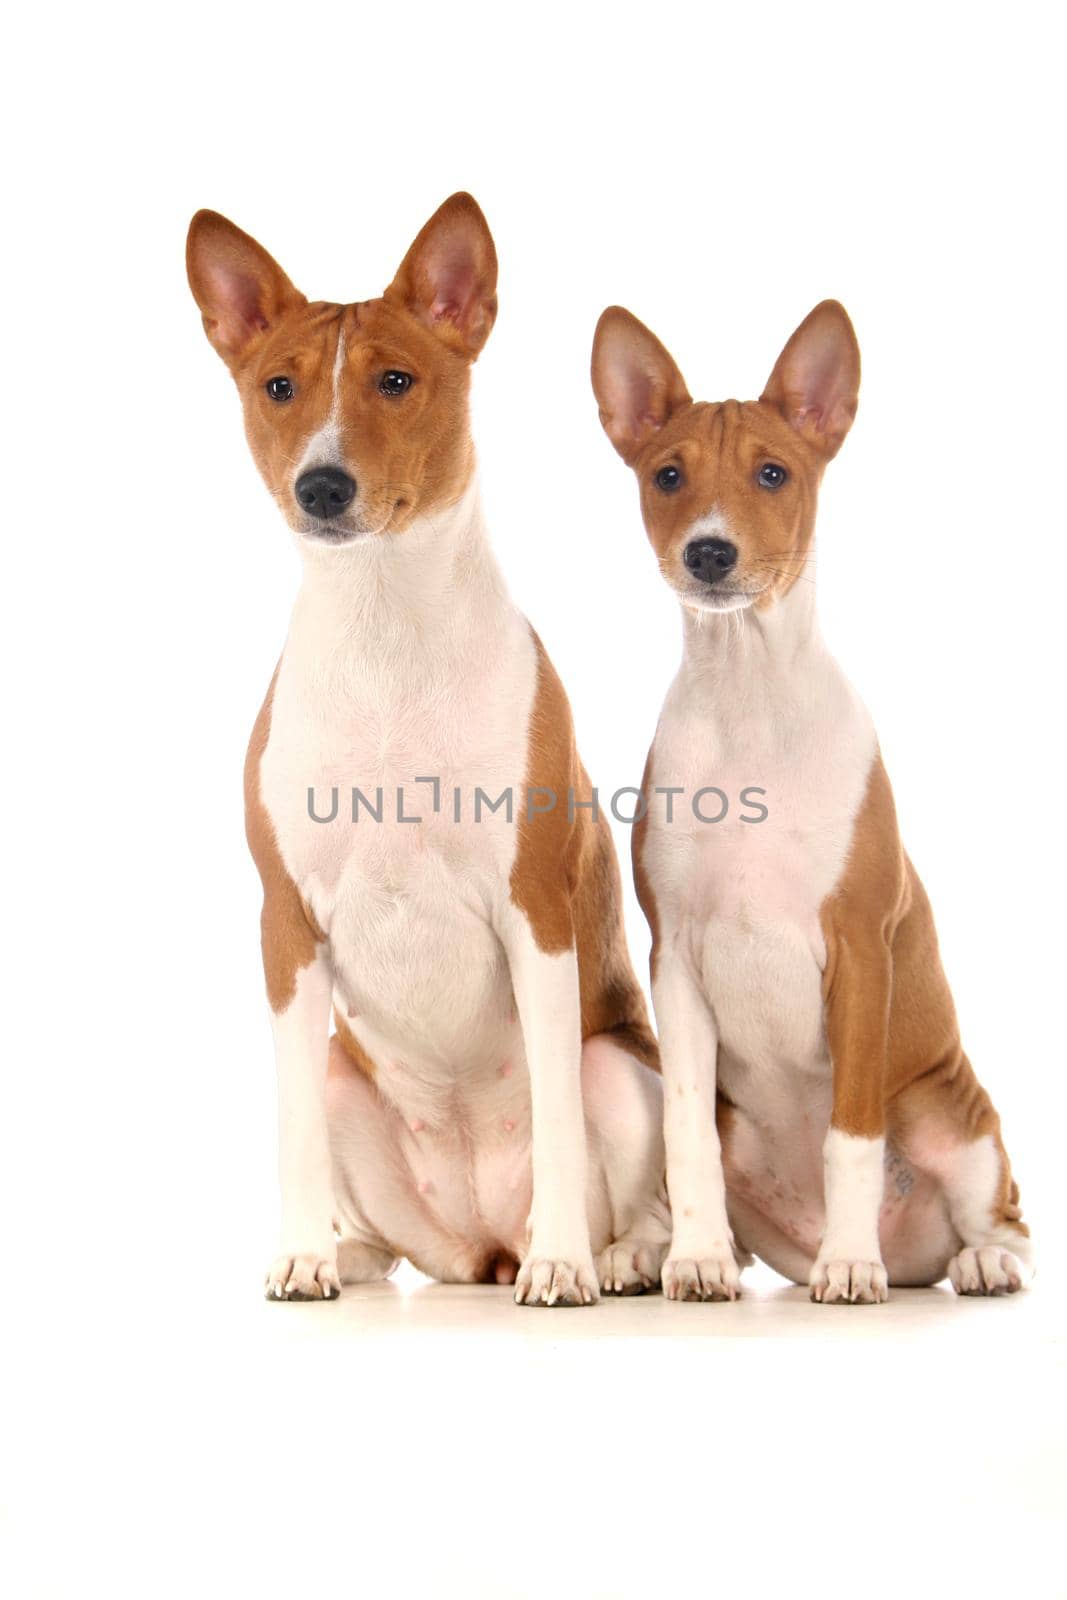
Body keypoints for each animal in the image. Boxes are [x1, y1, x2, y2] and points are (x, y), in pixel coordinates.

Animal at [183, 193, 668, 1305]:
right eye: (279, 387)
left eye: (396, 381)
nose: (321, 485)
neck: (382, 630)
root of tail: (481, 1242)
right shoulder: (285, 930)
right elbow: (285, 1131)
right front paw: (301, 1256)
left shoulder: (535, 915)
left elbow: (557, 1122)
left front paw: (564, 1262)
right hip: (339, 1076)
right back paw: (354, 1256)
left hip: (619, 1066)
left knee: (627, 1183)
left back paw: (610, 1256)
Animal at [591, 297, 1036, 1299]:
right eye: (667, 474)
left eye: (773, 473)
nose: (709, 552)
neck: (748, 694)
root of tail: (917, 1256)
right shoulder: (677, 962)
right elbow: (682, 1134)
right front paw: (696, 1261)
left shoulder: (860, 951)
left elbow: (850, 1140)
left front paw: (847, 1266)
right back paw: (654, 1251)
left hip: (950, 1109)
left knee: (1001, 1213)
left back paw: (961, 1259)